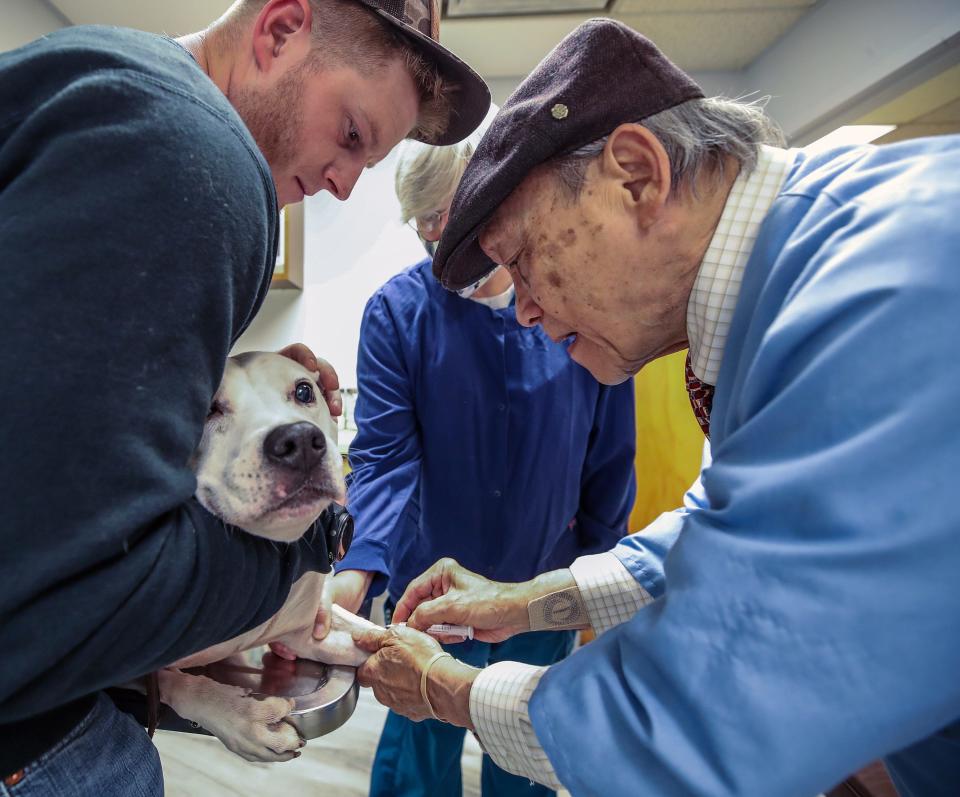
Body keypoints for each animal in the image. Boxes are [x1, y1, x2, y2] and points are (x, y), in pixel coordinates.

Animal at [153, 356, 376, 764]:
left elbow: (363, 637)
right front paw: (238, 716)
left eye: (304, 390)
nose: (300, 441)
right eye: (207, 408)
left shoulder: (301, 628)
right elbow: (175, 683)